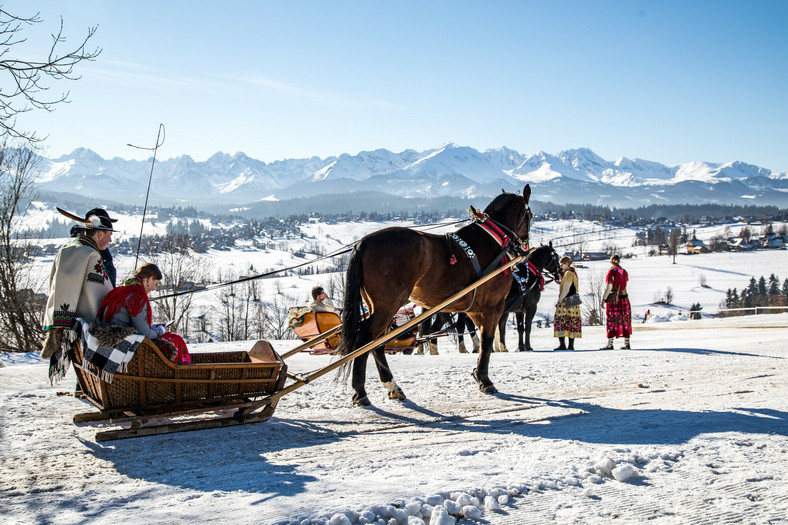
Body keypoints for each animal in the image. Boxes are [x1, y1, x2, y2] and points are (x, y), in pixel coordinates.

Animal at [336, 184, 532, 406]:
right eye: (529, 215)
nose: (524, 246)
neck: (493, 241)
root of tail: (364, 242)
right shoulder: (493, 307)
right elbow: (487, 341)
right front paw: (484, 379)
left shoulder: (475, 310)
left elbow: (481, 339)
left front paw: (477, 373)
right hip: (388, 304)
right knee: (366, 340)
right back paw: (361, 392)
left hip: (378, 306)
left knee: (376, 343)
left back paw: (392, 386)